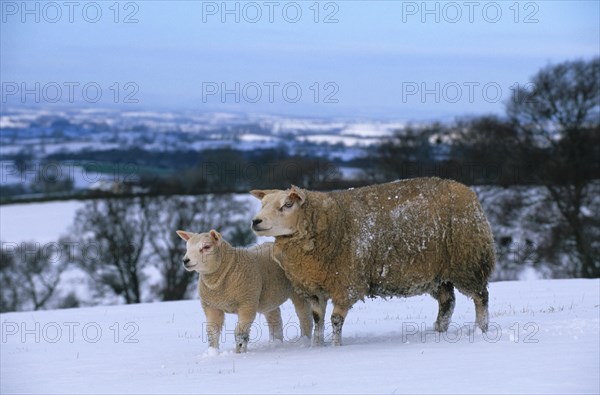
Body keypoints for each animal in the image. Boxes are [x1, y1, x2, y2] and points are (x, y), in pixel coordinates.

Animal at [175, 230, 312, 354]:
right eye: (187, 247)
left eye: (206, 247)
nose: (185, 261)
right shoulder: (211, 307)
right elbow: (212, 332)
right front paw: (212, 352)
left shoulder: (247, 303)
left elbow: (240, 333)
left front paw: (239, 352)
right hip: (269, 297)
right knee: (275, 319)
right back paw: (276, 343)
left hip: (298, 291)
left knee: (304, 316)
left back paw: (304, 340)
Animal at [250, 178, 496, 348]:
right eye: (262, 204)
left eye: (287, 204)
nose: (255, 221)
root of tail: (468, 191)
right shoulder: (314, 288)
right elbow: (317, 319)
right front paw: (316, 346)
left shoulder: (346, 283)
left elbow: (336, 320)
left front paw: (336, 346)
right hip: (436, 272)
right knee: (448, 301)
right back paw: (438, 331)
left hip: (467, 262)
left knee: (480, 297)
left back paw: (480, 330)